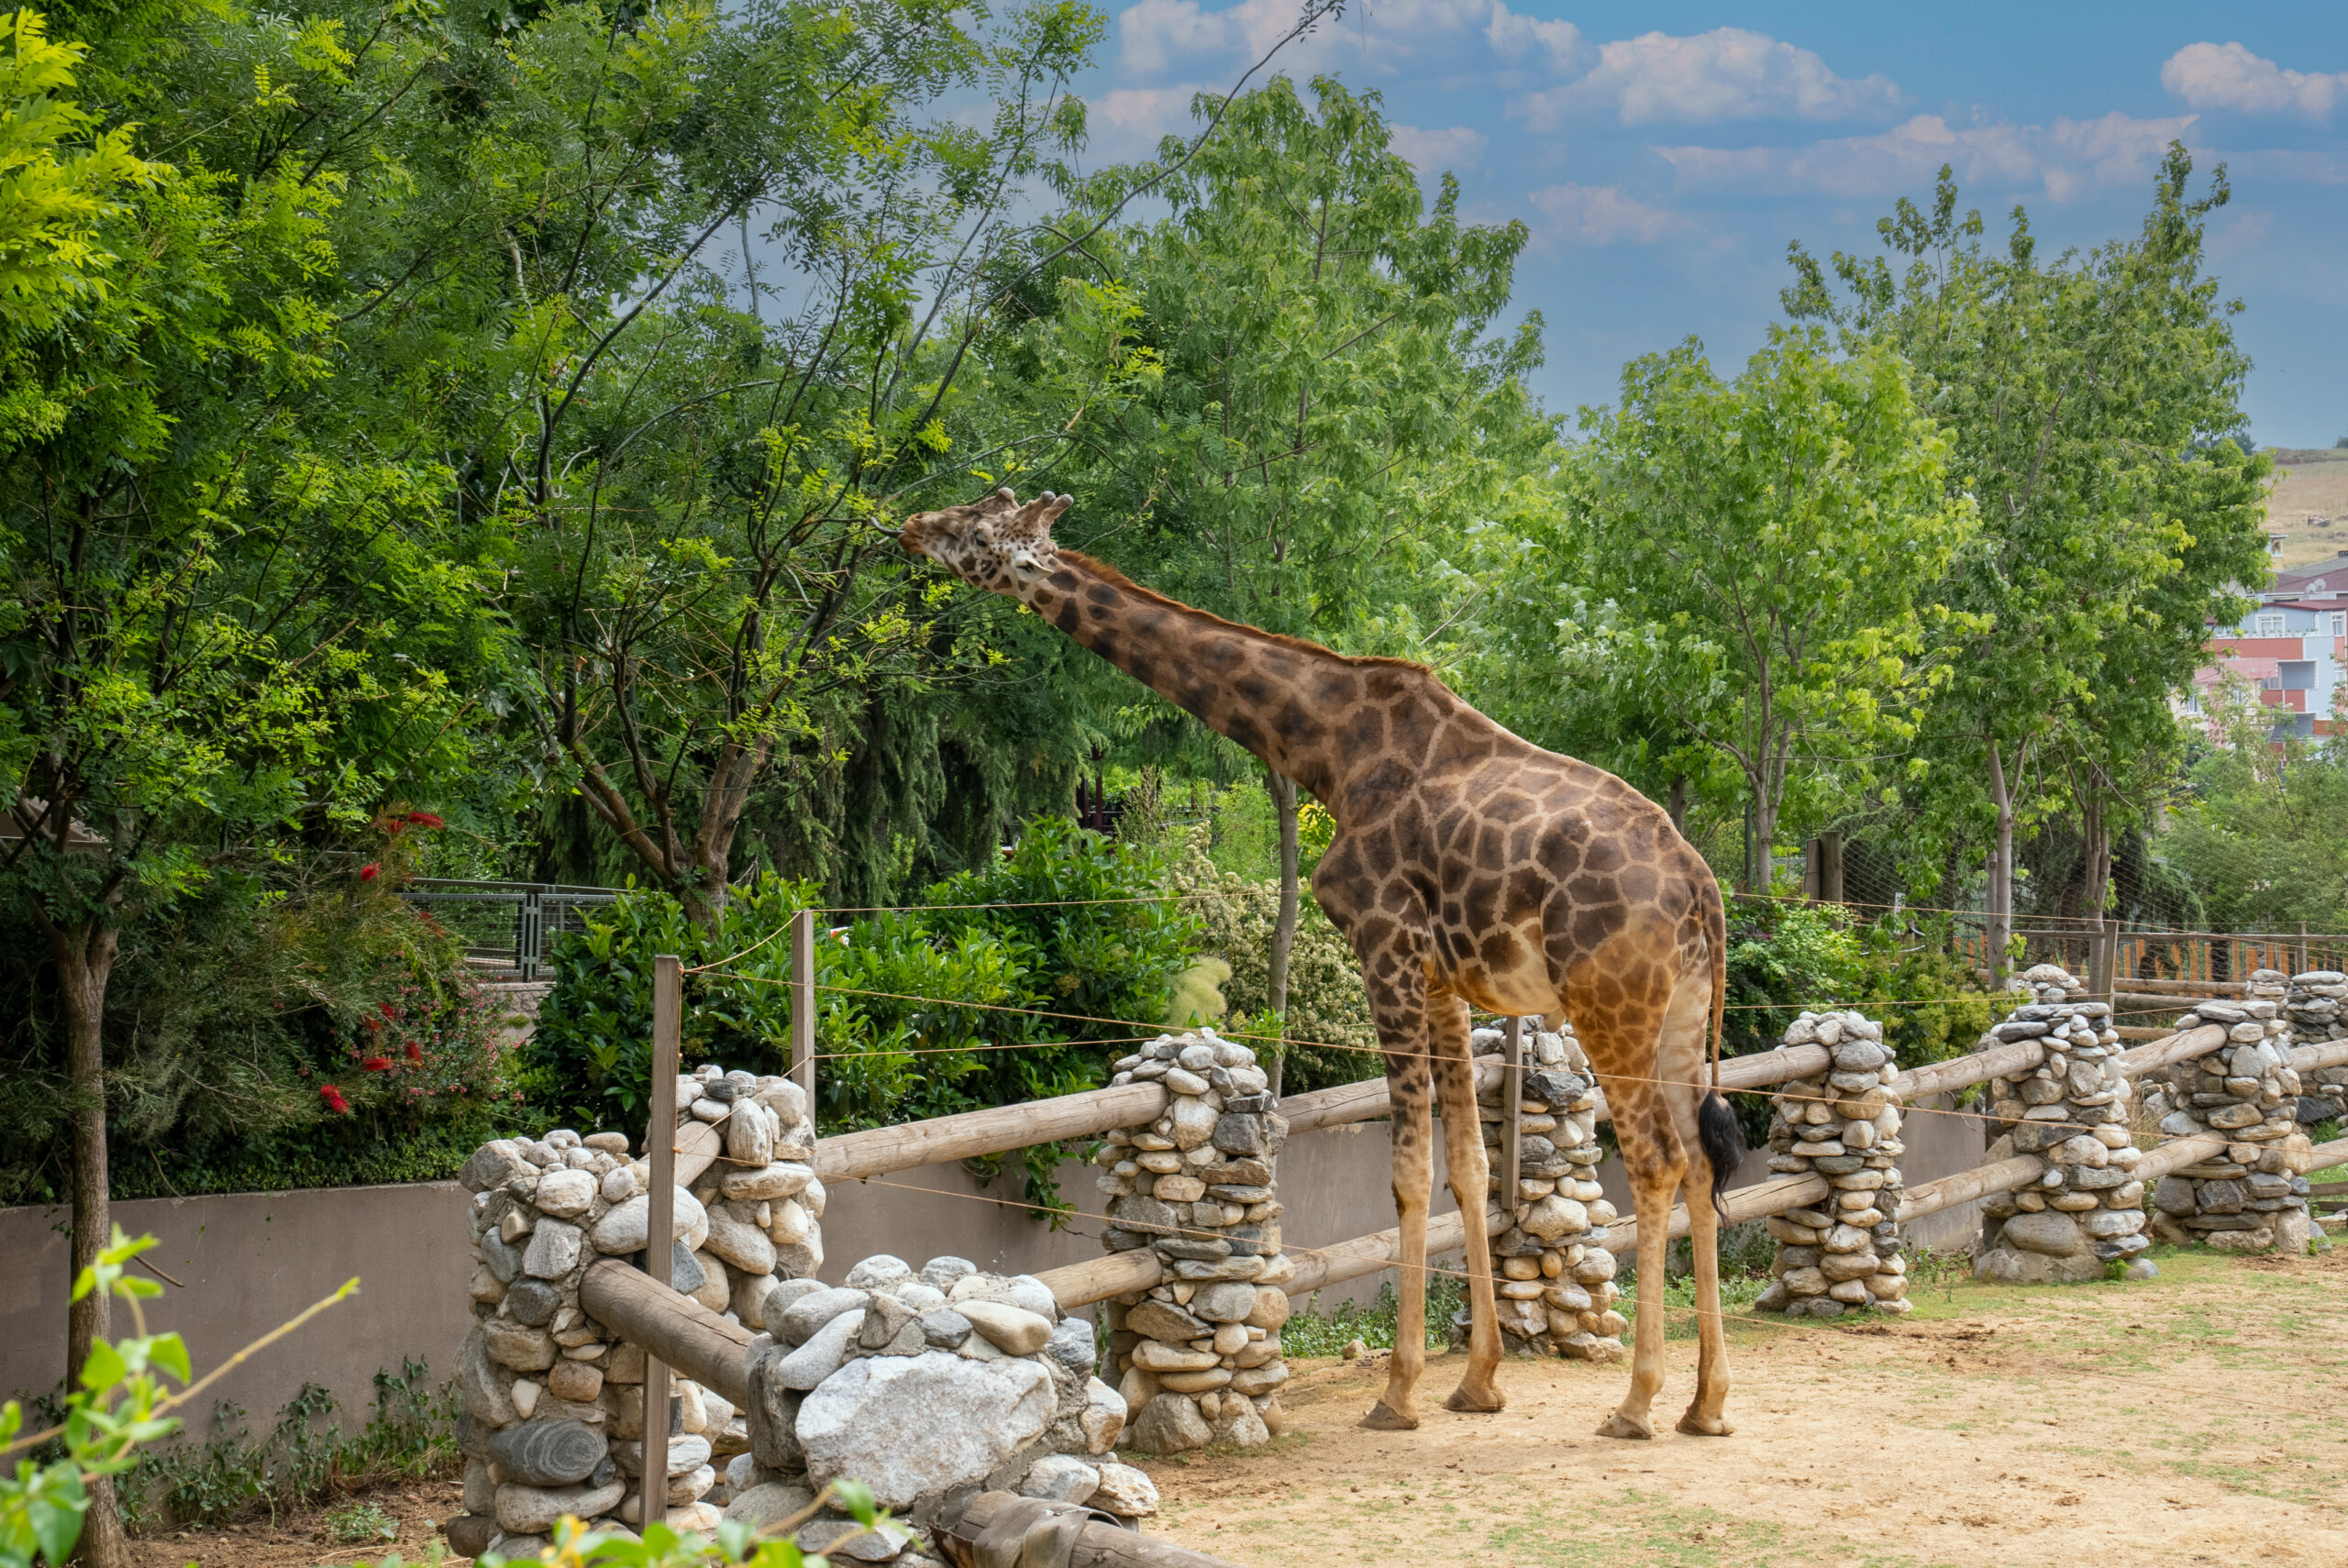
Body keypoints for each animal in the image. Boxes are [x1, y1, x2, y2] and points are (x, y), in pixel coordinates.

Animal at [896, 495, 1746, 1436]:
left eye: (979, 532)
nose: (910, 527)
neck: (1329, 750)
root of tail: (1701, 887)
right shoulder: (1444, 979)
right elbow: (1470, 1168)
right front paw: (1478, 1381)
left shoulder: (1384, 945)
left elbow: (1409, 1172)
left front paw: (1399, 1393)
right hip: (1680, 1010)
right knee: (1699, 1161)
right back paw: (1706, 1404)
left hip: (1610, 1003)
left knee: (1655, 1161)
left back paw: (1636, 1403)